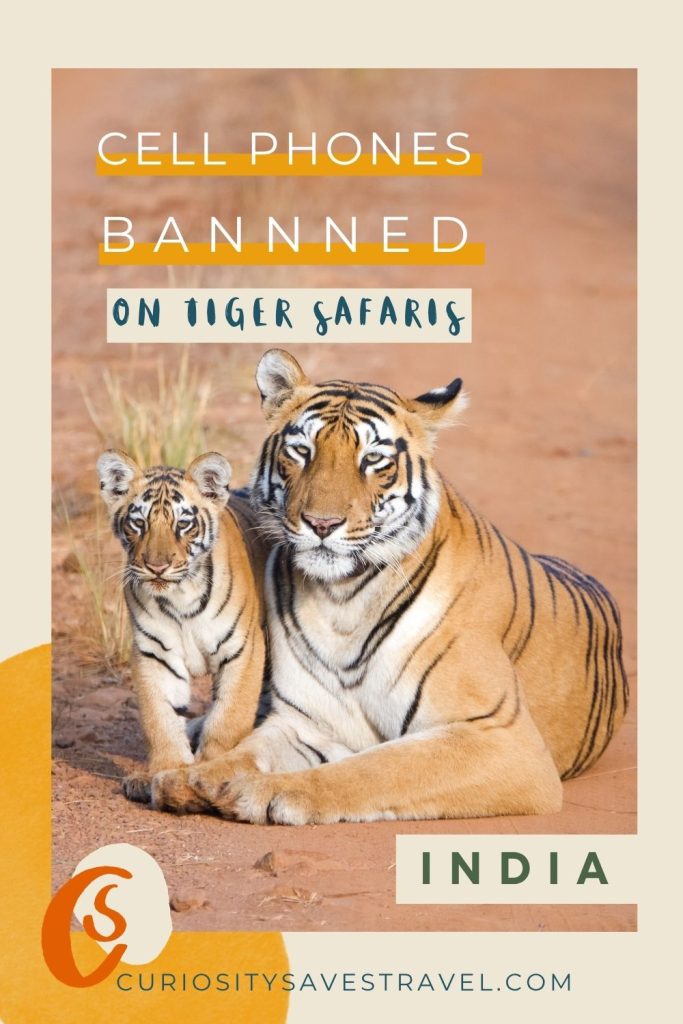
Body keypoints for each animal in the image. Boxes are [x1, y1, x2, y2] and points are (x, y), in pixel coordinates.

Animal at [97, 449, 265, 803]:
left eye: (183, 524)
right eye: (138, 523)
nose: (157, 567)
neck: (180, 598)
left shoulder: (244, 649)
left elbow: (228, 718)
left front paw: (208, 771)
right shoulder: (155, 654)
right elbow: (160, 719)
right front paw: (166, 772)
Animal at [151, 349, 629, 823]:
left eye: (373, 460)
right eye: (302, 451)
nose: (321, 524)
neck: (342, 599)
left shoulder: (502, 738)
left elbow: (376, 768)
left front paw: (262, 792)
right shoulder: (307, 724)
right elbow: (246, 750)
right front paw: (188, 778)